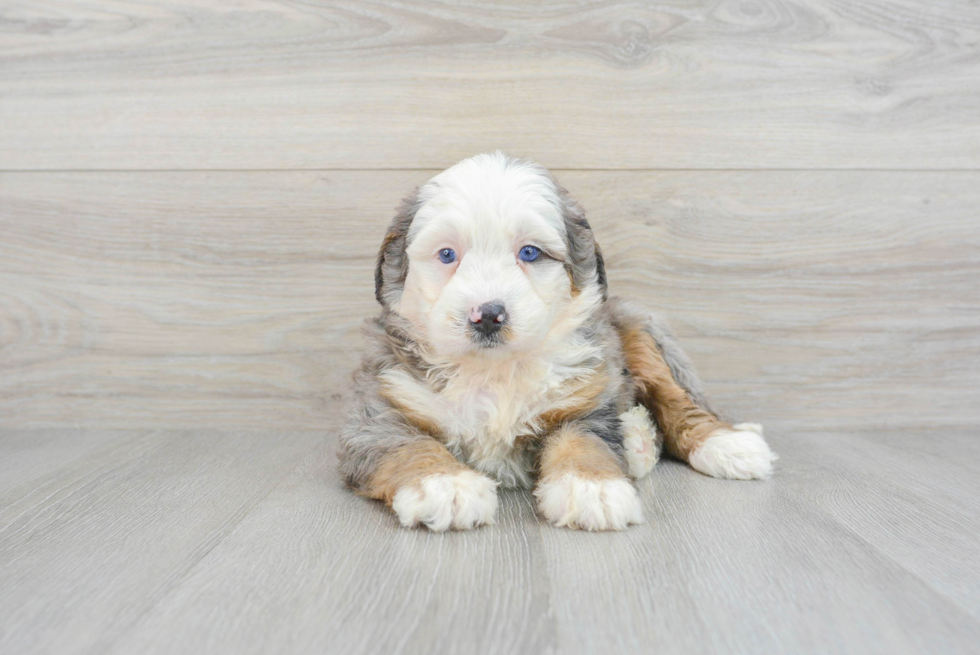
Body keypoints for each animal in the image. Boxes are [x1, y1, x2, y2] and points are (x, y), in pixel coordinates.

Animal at [340, 154, 776, 532]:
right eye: (447, 254)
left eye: (530, 252)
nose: (488, 315)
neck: (494, 370)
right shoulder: (376, 411)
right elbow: (408, 445)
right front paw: (446, 486)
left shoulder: (583, 405)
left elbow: (581, 443)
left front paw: (591, 488)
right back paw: (639, 442)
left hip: (638, 329)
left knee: (679, 401)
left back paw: (727, 445)